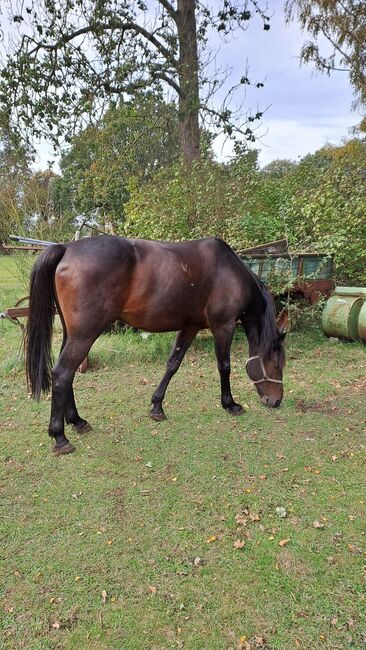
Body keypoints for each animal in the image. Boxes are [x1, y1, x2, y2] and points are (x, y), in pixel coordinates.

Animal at [25, 235, 286, 454]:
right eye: (275, 364)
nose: (276, 401)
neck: (228, 272)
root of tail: (67, 248)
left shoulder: (190, 326)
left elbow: (173, 364)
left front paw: (157, 407)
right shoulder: (224, 326)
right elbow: (224, 366)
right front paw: (230, 404)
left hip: (73, 334)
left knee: (67, 374)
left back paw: (77, 421)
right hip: (84, 335)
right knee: (62, 374)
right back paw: (60, 437)